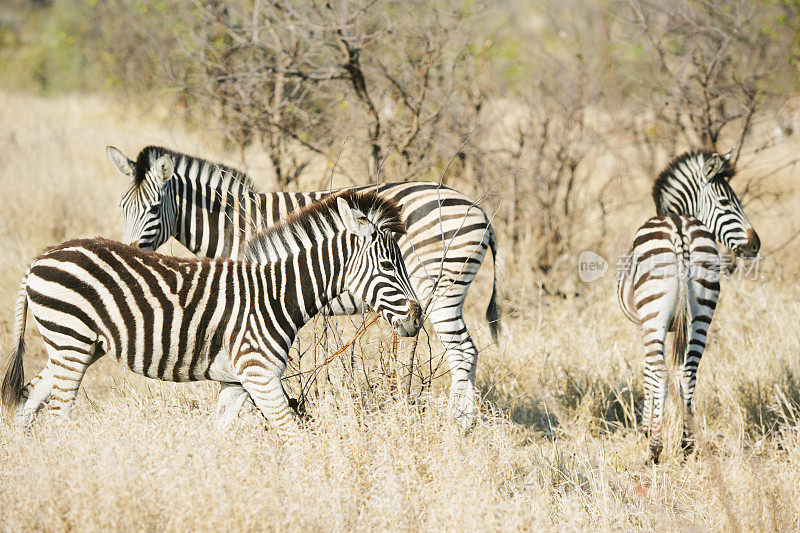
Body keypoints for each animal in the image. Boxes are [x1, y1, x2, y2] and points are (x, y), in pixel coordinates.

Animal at [1, 189, 424, 434]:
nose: (418, 318)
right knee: (57, 414)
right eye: (389, 266)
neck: (276, 295)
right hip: (71, 341)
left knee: (29, 402)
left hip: (76, 347)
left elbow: (219, 439)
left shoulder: (235, 383)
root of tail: (40, 258)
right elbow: (291, 434)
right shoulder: (259, 374)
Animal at [105, 144, 500, 428]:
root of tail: (479, 210)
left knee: (464, 352)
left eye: (154, 208)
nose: (129, 252)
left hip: (442, 290)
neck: (234, 222)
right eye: (122, 207)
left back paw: (458, 427)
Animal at [620, 150, 764, 462]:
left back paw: (655, 449)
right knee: (688, 372)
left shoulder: (644, 325)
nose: (755, 245)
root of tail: (679, 229)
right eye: (727, 203)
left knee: (663, 373)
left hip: (654, 315)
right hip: (703, 310)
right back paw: (687, 444)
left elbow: (648, 373)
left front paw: (645, 428)